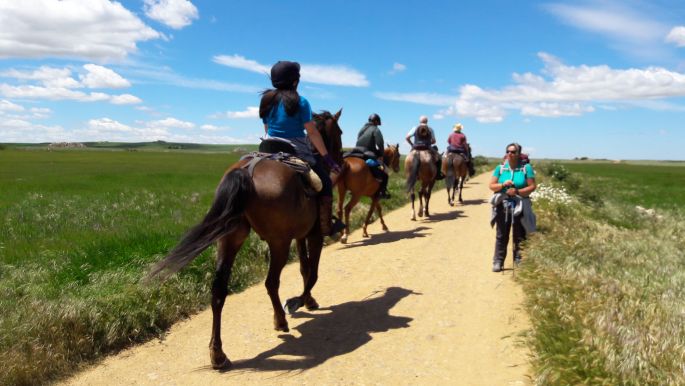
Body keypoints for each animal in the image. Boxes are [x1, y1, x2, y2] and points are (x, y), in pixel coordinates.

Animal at [148, 110, 344, 370]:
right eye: (339, 132)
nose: (340, 161)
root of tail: (247, 171)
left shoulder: (300, 235)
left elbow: (304, 268)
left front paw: (308, 301)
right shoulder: (313, 234)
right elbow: (312, 272)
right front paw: (298, 302)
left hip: (229, 239)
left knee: (218, 290)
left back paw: (218, 354)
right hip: (278, 243)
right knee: (271, 282)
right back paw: (280, 320)